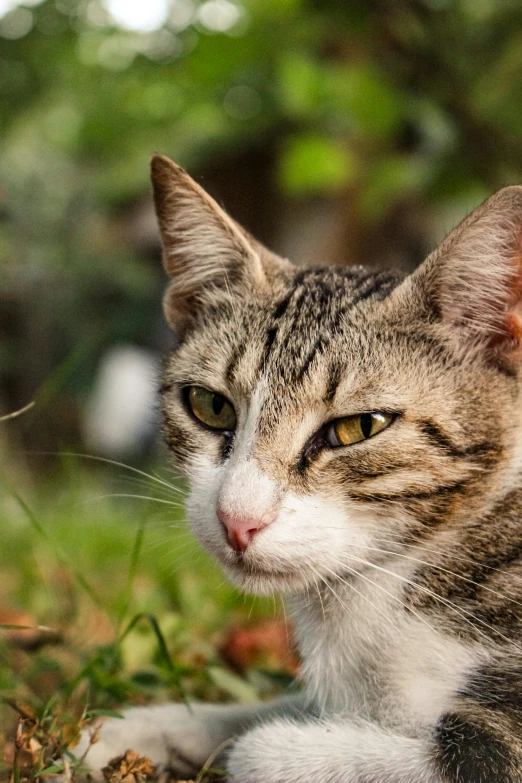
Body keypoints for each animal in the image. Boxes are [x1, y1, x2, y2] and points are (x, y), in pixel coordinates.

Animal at [77, 155, 522, 783]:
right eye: (211, 406)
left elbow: (266, 748)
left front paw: (252, 746)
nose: (237, 519)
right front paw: (137, 729)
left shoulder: (501, 746)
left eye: (359, 427)